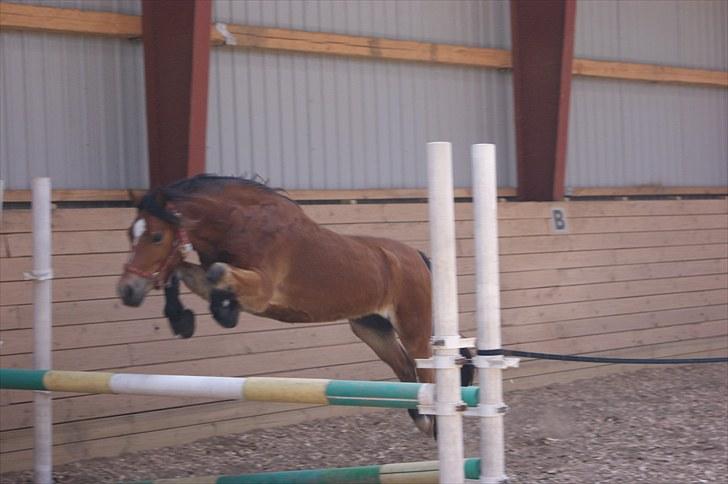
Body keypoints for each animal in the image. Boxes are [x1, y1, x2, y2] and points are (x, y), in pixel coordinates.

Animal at [116, 174, 473, 437]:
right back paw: (422, 418)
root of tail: (417, 258)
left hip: (414, 330)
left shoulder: (260, 290)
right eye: (130, 234)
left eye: (157, 237)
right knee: (406, 370)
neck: (240, 223)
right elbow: (184, 269)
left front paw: (223, 311)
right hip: (372, 329)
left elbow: (216, 273)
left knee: (426, 373)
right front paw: (183, 319)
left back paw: (436, 424)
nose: (127, 291)